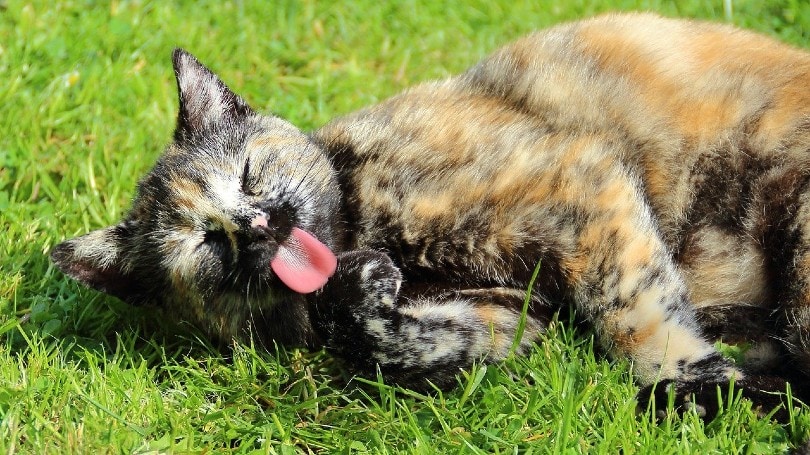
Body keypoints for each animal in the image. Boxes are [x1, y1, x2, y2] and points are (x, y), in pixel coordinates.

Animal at [49, 13, 808, 420]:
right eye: (209, 243)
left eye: (246, 174)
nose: (260, 226)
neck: (362, 227)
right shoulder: (513, 313)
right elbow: (399, 343)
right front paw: (368, 300)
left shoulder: (581, 186)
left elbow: (636, 321)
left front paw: (697, 381)